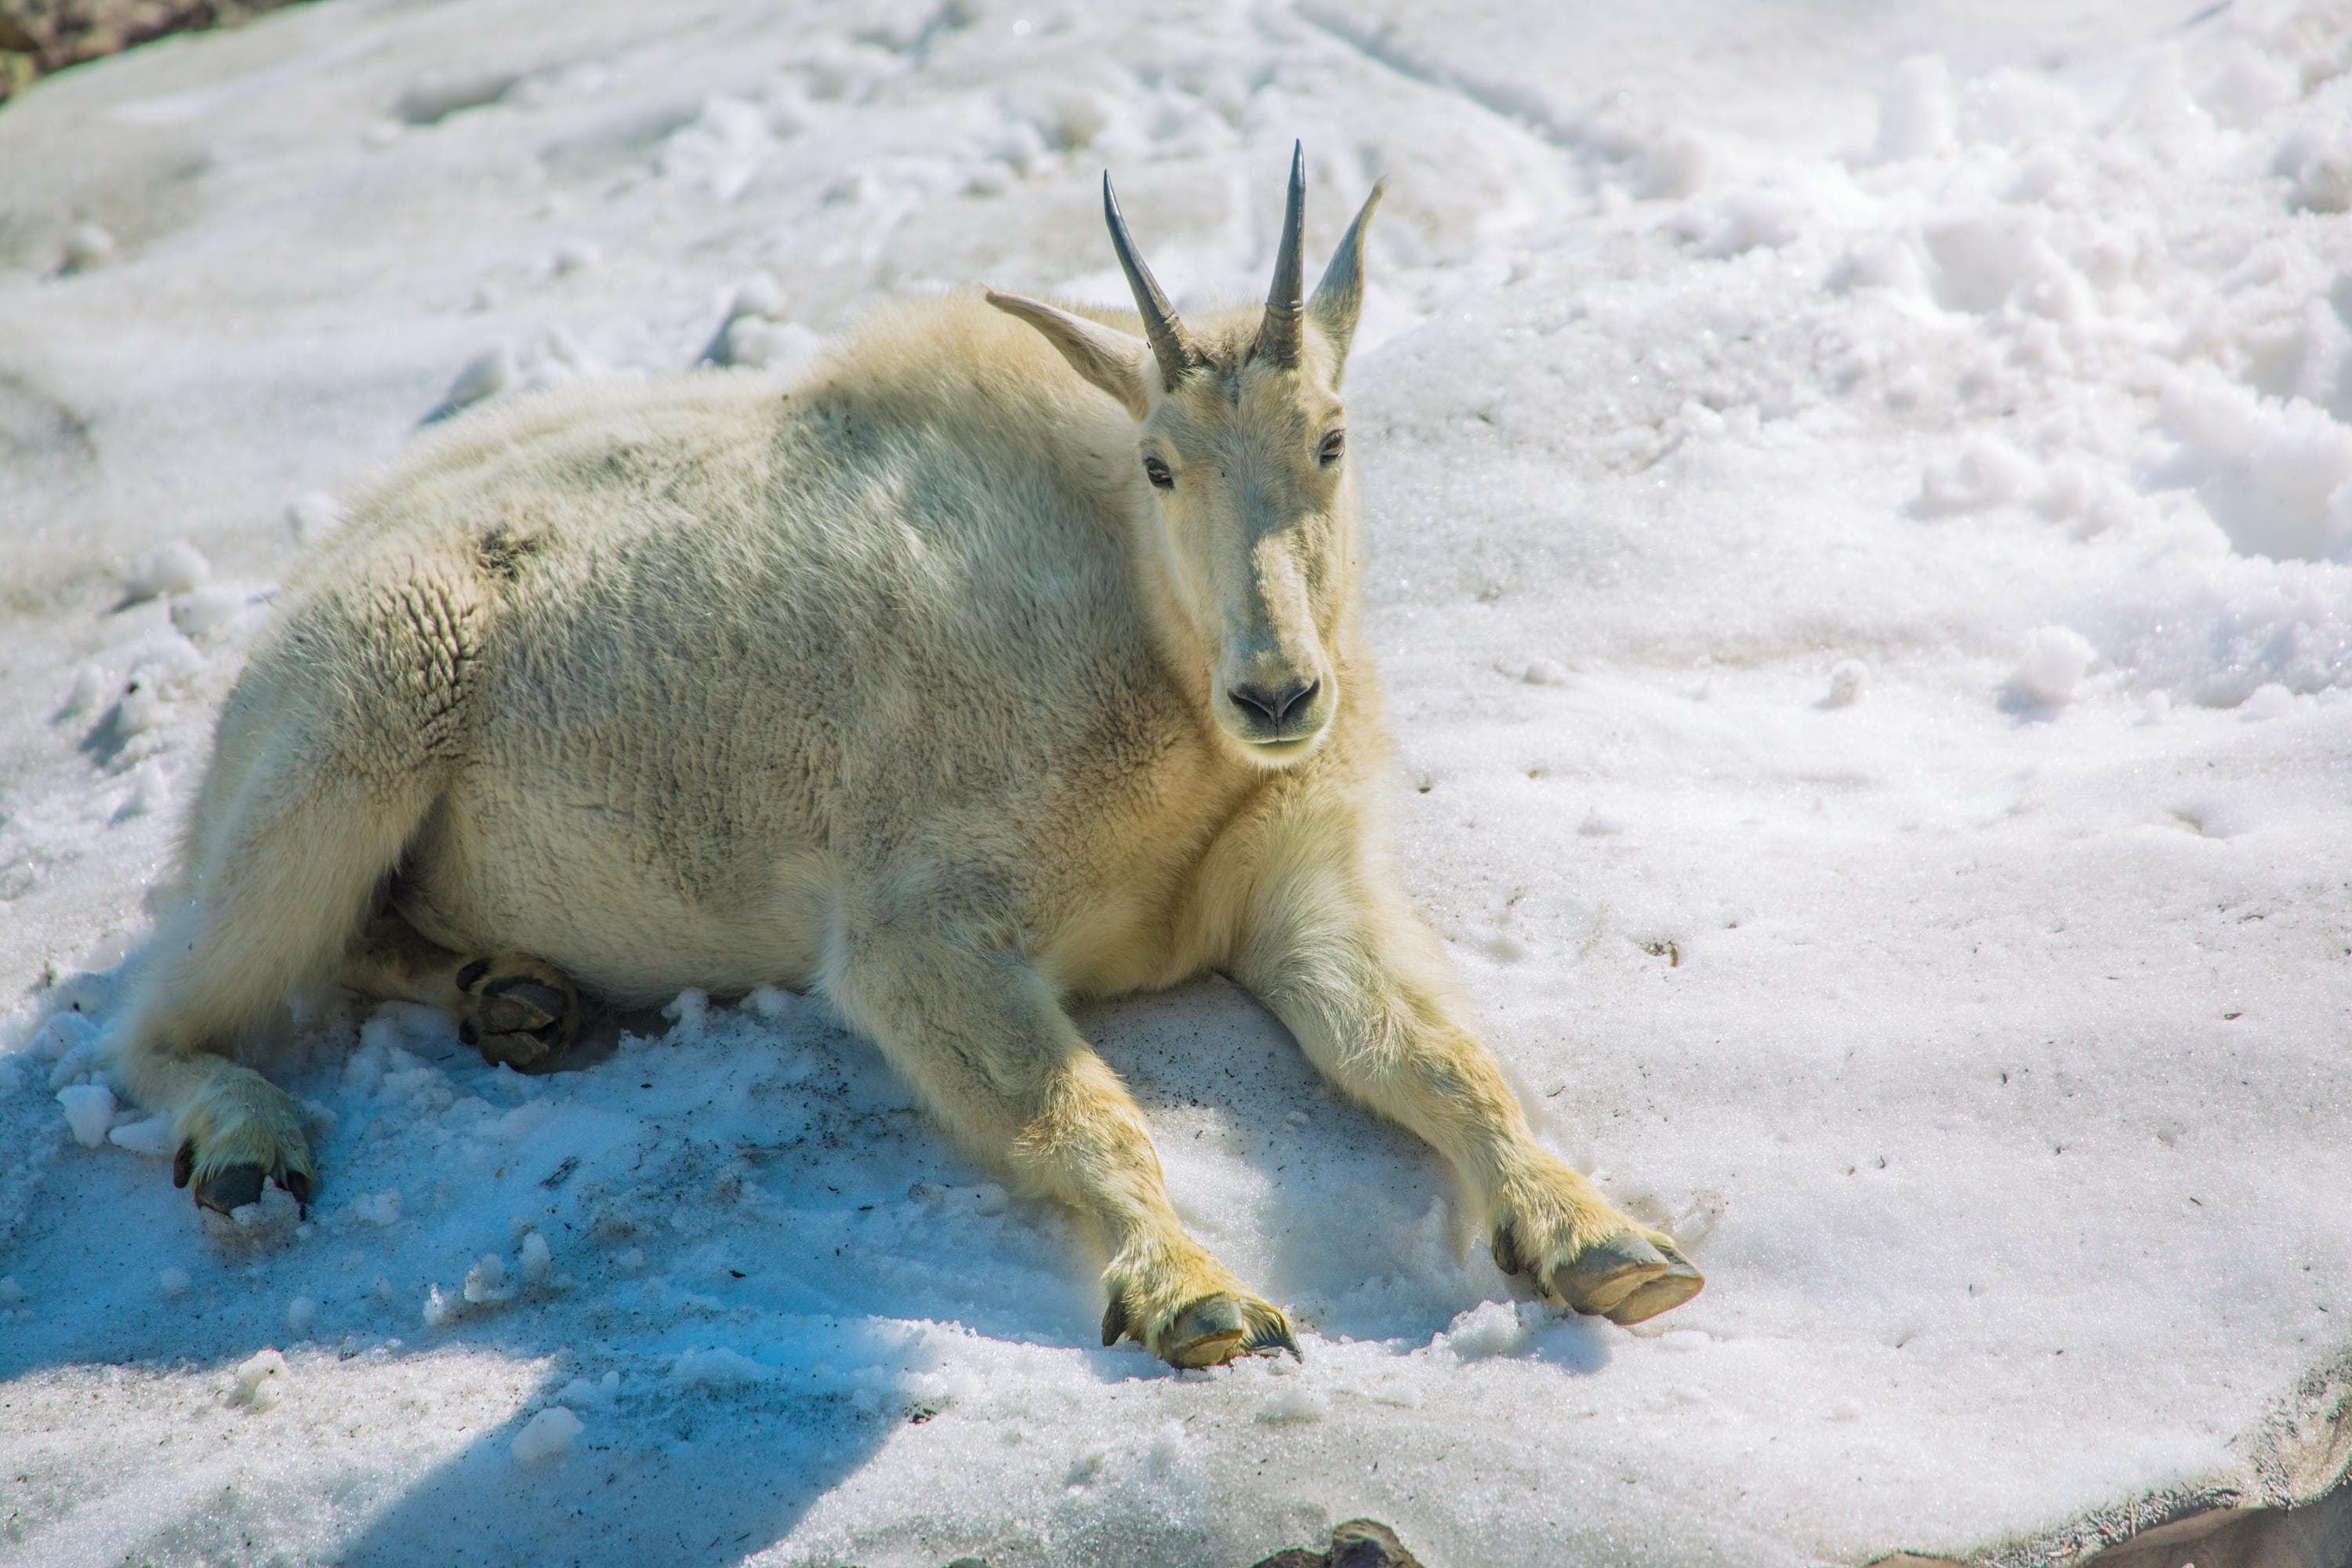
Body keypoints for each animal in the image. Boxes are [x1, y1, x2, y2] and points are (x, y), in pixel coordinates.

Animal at [108, 145, 1701, 1367]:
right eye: (1161, 464)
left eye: (1333, 436)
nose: (1279, 691)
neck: (1159, 684)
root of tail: (288, 614)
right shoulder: (918, 930)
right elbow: (1079, 1112)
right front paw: (1195, 1300)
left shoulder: (1300, 892)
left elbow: (1438, 1056)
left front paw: (1605, 1239)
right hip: (359, 722)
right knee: (161, 1016)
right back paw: (252, 1137)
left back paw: (520, 1000)